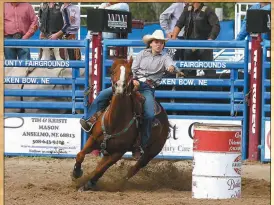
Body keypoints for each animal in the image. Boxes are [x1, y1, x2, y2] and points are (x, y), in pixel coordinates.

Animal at [73, 57, 171, 191]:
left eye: (130, 73)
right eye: (112, 71)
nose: (120, 87)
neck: (114, 122)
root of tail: (166, 120)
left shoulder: (118, 153)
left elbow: (100, 170)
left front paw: (88, 184)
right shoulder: (93, 139)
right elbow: (80, 155)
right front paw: (76, 173)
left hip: (151, 152)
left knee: (133, 169)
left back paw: (120, 183)